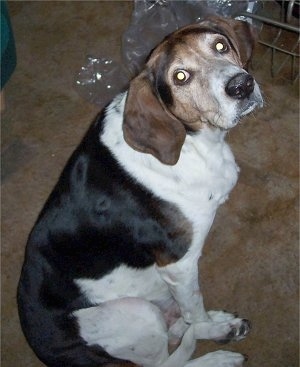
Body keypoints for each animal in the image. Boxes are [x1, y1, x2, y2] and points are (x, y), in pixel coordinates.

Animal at [18, 16, 262, 367]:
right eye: (180, 76)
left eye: (220, 46)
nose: (241, 85)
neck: (191, 141)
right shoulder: (179, 264)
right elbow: (196, 308)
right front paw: (210, 328)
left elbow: (193, 310)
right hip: (139, 313)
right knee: (168, 356)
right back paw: (219, 349)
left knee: (177, 327)